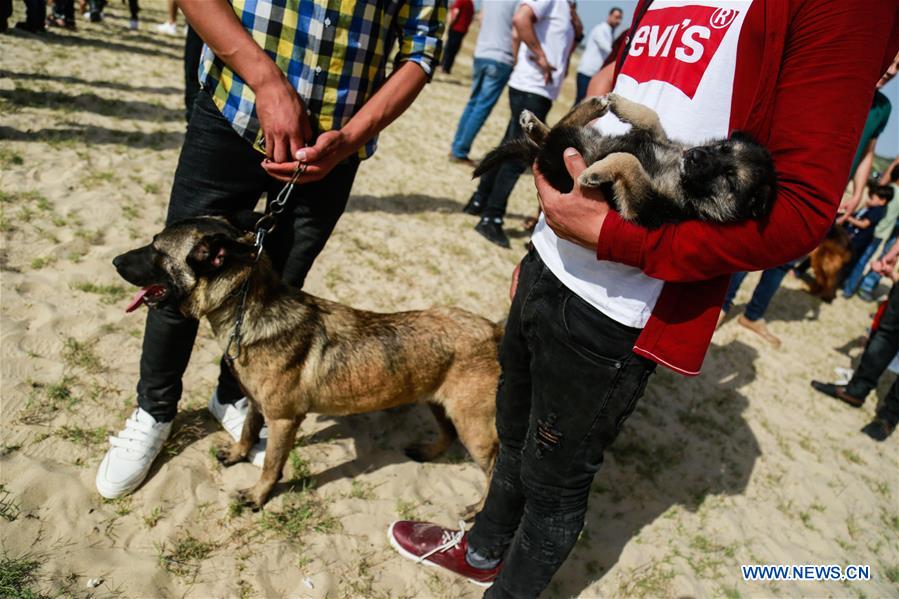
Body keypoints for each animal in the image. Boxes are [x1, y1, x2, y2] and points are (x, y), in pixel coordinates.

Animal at [113, 219, 502, 510]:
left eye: (157, 251)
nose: (115, 261)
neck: (250, 309)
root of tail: (493, 328)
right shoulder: (257, 405)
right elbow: (248, 432)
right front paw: (238, 455)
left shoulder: (285, 421)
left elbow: (272, 464)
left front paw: (258, 496)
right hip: (442, 404)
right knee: (448, 434)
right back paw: (429, 451)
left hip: (475, 426)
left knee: (497, 469)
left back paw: (478, 511)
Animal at [474, 95, 776, 229]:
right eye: (724, 147)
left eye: (730, 178)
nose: (695, 155)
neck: (675, 169)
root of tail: (540, 157)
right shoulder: (658, 138)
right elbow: (652, 118)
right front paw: (622, 103)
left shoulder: (640, 208)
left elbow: (630, 160)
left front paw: (596, 171)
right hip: (584, 139)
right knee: (559, 129)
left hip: (567, 152)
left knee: (560, 134)